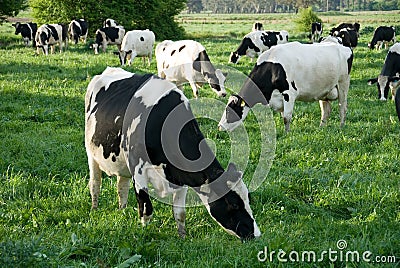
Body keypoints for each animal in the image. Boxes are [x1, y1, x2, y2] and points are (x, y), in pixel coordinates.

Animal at [85, 66, 260, 240]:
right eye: (234, 204)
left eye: (248, 198)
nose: (256, 234)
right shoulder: (138, 168)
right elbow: (146, 209)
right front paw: (144, 232)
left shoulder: (181, 175)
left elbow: (179, 212)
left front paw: (182, 237)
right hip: (90, 153)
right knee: (95, 183)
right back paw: (94, 209)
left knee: (121, 186)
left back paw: (122, 210)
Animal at [219, 41, 354, 133]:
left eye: (229, 110)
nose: (219, 126)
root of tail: (345, 47)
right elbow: (283, 115)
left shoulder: (289, 93)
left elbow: (287, 117)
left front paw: (287, 133)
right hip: (324, 90)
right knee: (326, 110)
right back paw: (321, 127)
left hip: (343, 83)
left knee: (342, 107)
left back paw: (341, 126)